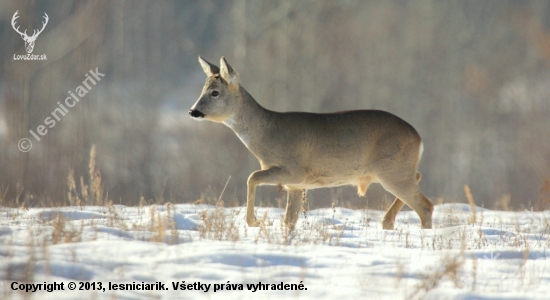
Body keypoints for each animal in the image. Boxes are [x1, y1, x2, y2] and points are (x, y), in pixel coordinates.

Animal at [190, 56, 436, 230]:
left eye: (215, 92)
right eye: (202, 90)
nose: (193, 111)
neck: (266, 133)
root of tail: (419, 137)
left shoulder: (294, 170)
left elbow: (252, 177)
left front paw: (255, 221)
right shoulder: (296, 185)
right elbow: (290, 220)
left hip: (392, 170)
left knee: (426, 205)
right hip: (393, 171)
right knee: (418, 179)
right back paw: (387, 221)